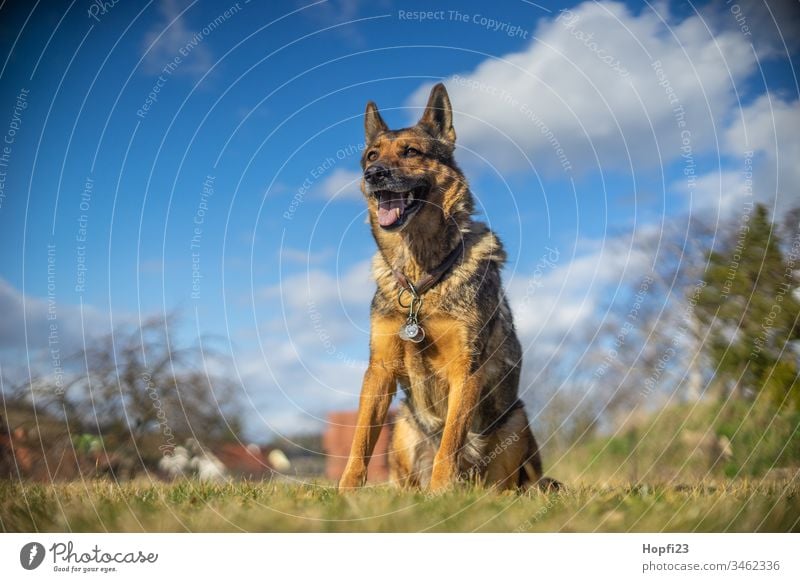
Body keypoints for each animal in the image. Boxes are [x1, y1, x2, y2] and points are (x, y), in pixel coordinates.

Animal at [336, 82, 556, 492]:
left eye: (411, 152)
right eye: (371, 155)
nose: (374, 174)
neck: (420, 283)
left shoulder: (465, 368)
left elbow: (451, 441)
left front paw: (442, 493)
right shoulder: (379, 370)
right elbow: (359, 441)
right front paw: (346, 493)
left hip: (516, 422)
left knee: (508, 485)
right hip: (403, 425)